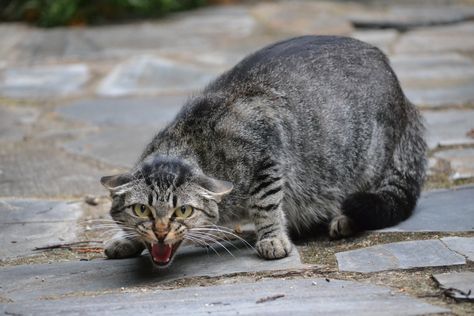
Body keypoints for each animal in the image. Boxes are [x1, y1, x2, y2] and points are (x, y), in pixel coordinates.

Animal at [100, 35, 426, 266]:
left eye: (183, 211)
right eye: (142, 209)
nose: (160, 232)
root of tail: (404, 95)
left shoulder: (266, 158)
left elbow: (265, 205)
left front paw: (272, 238)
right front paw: (127, 239)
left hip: (367, 161)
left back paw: (343, 220)